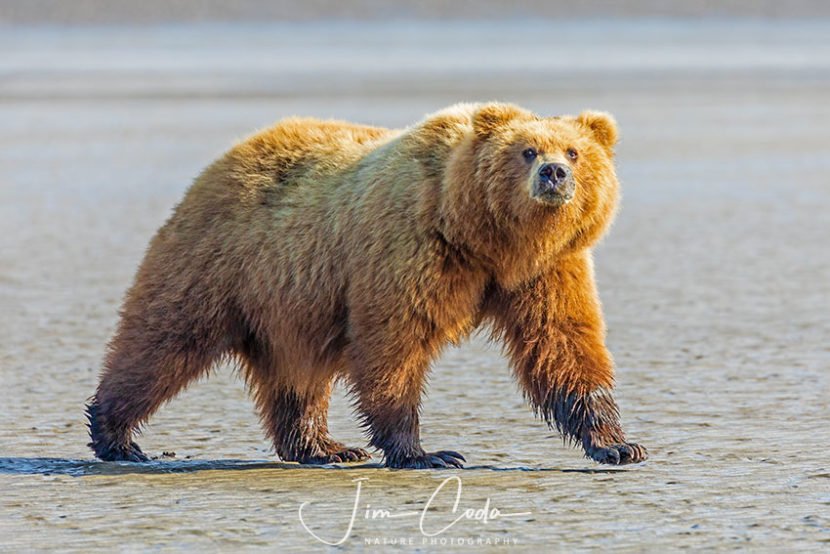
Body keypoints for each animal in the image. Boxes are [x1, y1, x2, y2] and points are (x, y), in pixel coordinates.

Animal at [86, 102, 647, 468]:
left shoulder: (548, 270)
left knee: (297, 376)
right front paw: (428, 452)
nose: (554, 173)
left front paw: (619, 444)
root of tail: (226, 157)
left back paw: (324, 448)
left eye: (574, 151)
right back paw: (117, 437)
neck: (488, 240)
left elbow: (563, 345)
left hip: (293, 304)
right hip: (222, 263)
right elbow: (393, 346)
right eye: (527, 151)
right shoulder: (411, 250)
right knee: (161, 343)